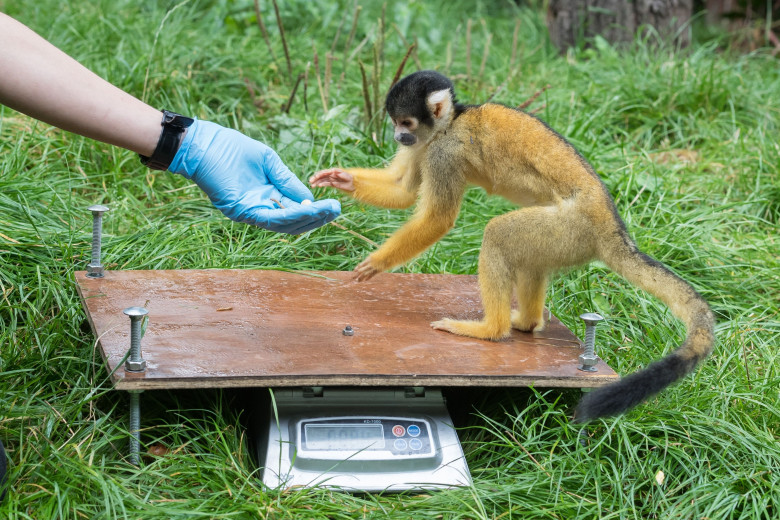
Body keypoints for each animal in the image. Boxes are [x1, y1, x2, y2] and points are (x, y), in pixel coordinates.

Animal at [310, 70, 712, 422]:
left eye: (405, 122)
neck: (450, 124)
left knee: (498, 234)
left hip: (572, 229)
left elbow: (438, 218)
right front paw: (340, 179)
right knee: (528, 255)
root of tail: (613, 228)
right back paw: (526, 322)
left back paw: (492, 330)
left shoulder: (444, 152)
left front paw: (376, 263)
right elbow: (404, 189)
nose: (397, 137)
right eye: (395, 122)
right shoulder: (426, 146)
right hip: (566, 238)